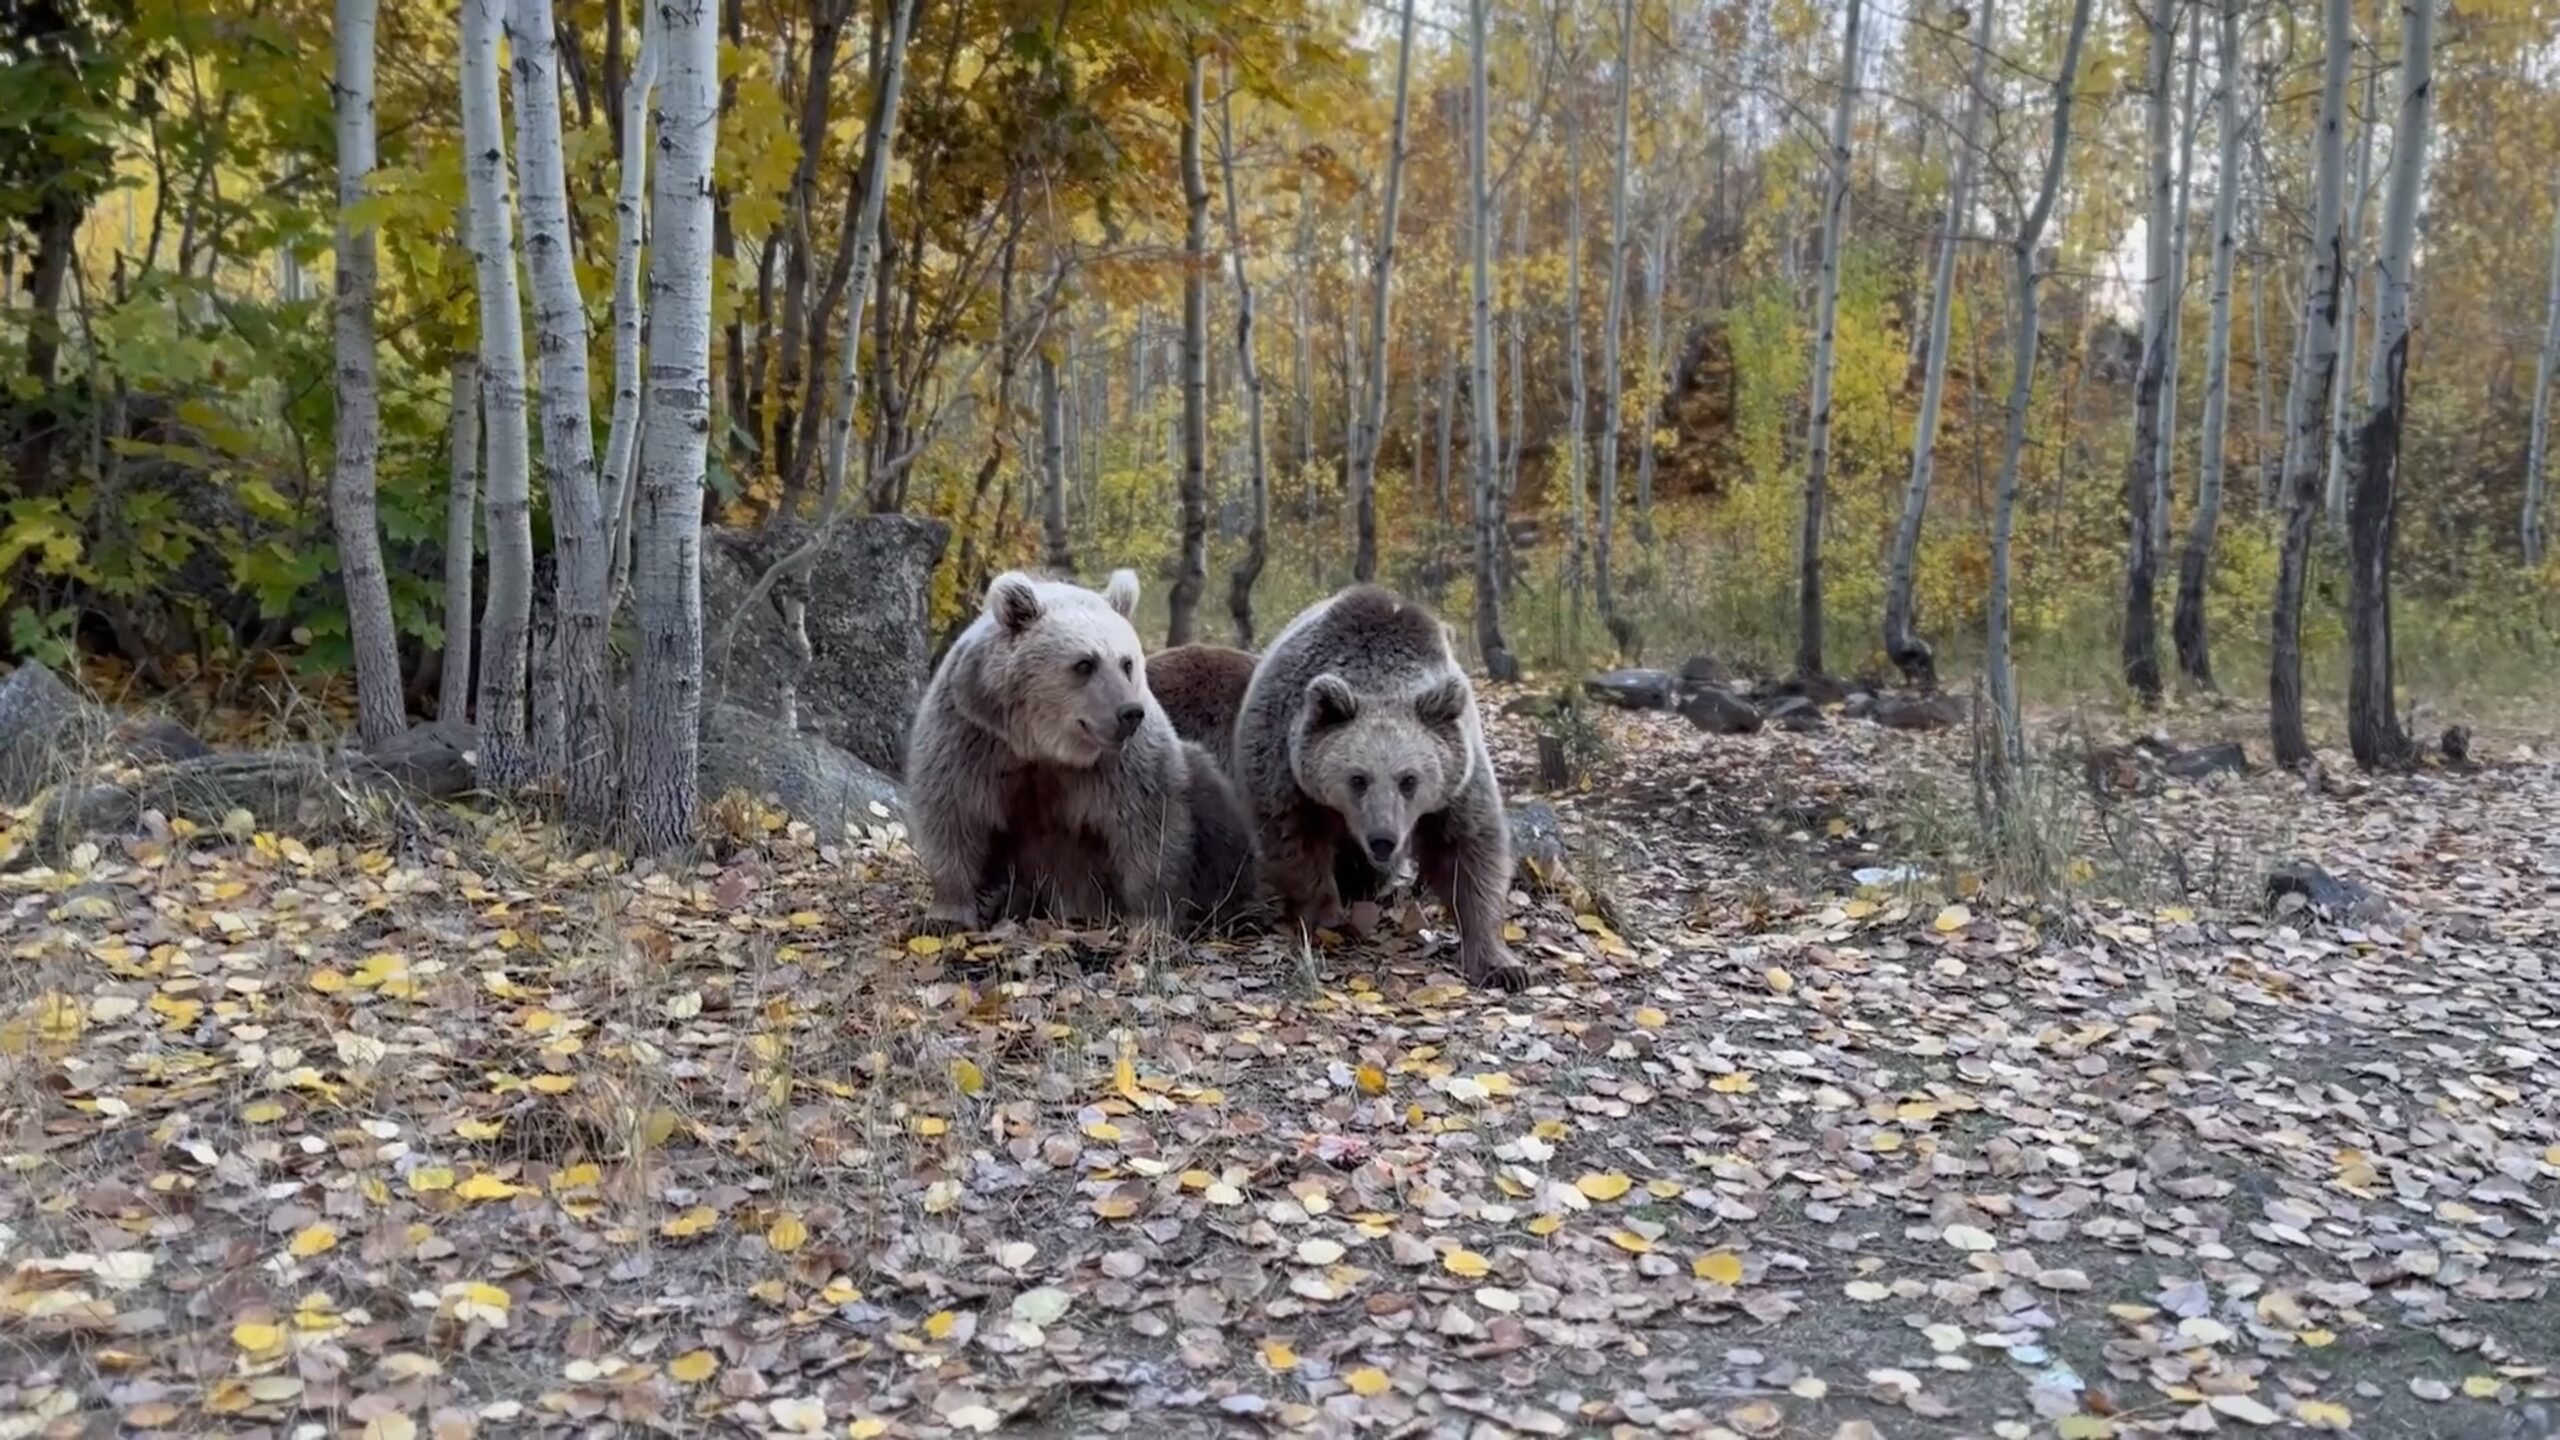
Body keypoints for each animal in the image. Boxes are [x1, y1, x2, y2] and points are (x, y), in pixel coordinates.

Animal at [1233, 584, 1525, 983]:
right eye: (1358, 779)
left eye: (1409, 780)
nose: (1383, 839)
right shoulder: (1287, 770)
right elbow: (1296, 843)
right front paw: (1331, 920)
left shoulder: (1457, 784)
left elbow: (1471, 852)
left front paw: (1501, 963)